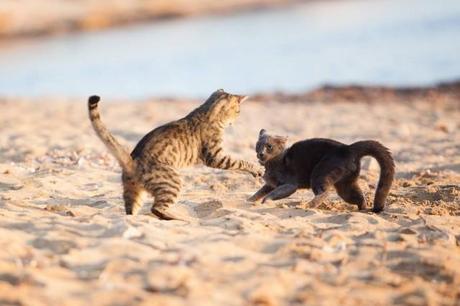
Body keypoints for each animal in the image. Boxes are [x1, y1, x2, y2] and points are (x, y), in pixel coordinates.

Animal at [89, 88, 262, 220]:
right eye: (238, 111)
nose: (237, 118)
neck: (206, 112)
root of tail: (133, 161)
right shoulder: (216, 156)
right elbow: (240, 162)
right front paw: (257, 170)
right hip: (173, 182)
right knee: (156, 208)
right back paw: (178, 218)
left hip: (133, 191)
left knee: (130, 211)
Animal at [250, 130, 394, 213]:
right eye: (258, 145)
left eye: (269, 146)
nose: (260, 154)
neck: (272, 164)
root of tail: (348, 148)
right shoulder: (270, 184)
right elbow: (259, 192)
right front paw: (250, 201)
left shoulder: (290, 185)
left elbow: (273, 193)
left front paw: (265, 202)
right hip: (345, 184)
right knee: (358, 196)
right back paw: (363, 209)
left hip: (320, 172)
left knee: (325, 192)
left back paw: (305, 206)